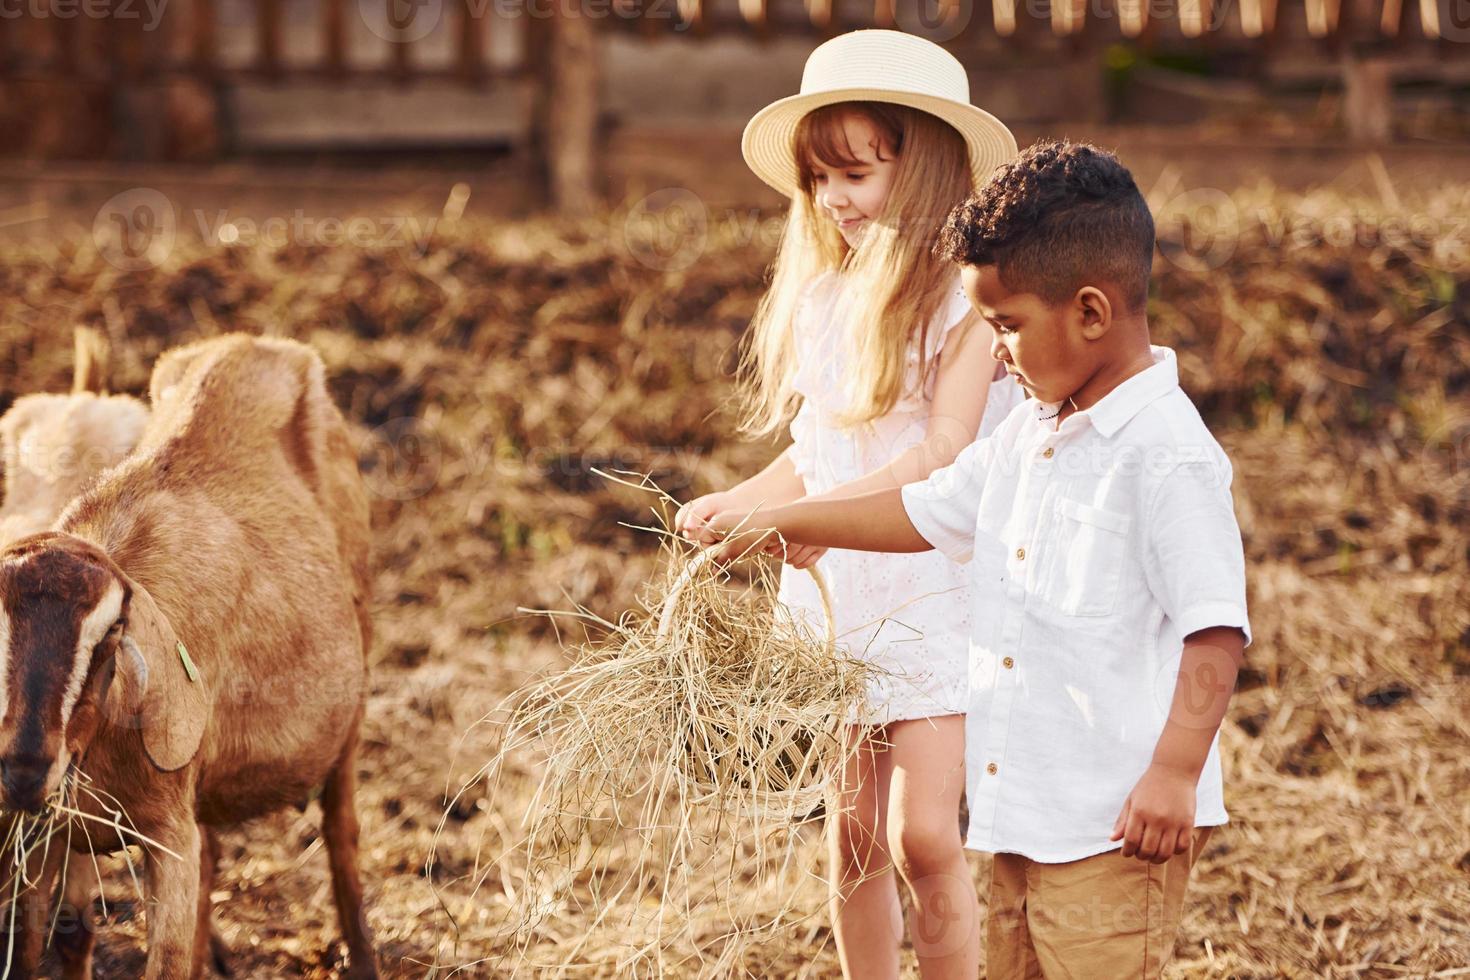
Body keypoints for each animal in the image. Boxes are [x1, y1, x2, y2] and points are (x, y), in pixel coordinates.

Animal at [1, 333, 379, 975]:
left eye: (112, 633)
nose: (25, 770)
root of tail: (256, 345)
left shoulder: (169, 836)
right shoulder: (43, 836)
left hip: (353, 699)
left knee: (342, 833)